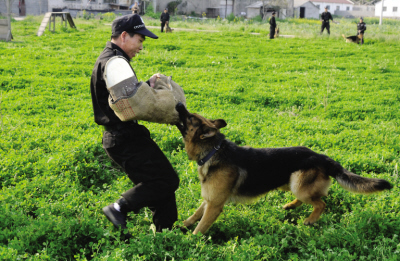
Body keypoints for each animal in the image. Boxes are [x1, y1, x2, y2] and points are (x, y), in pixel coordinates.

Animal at [176, 103, 394, 234]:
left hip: (298, 183)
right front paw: (181, 226)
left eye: (190, 118)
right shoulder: (209, 199)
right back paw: (289, 206)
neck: (212, 151)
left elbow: (201, 226)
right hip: (291, 182)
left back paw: (310, 220)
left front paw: (191, 241)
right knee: (311, 199)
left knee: (321, 203)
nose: (179, 105)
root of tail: (324, 158)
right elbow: (195, 215)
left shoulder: (215, 205)